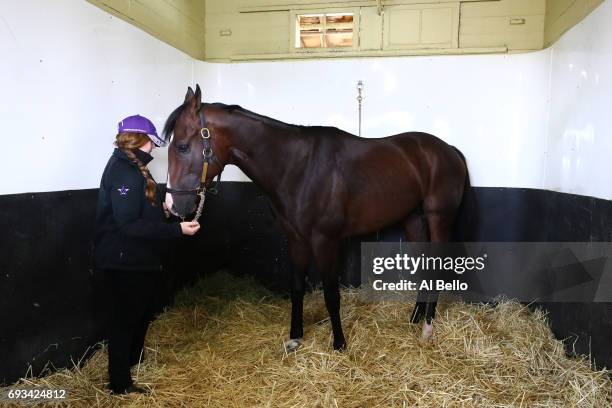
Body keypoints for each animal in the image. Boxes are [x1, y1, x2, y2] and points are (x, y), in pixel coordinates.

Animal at [163, 83, 468, 350]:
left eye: (182, 146)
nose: (172, 206)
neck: (298, 167)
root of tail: (449, 150)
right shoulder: (296, 240)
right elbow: (297, 287)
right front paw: (295, 336)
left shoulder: (325, 240)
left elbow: (331, 294)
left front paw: (339, 344)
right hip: (412, 218)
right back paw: (415, 317)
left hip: (439, 218)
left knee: (437, 265)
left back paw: (428, 327)